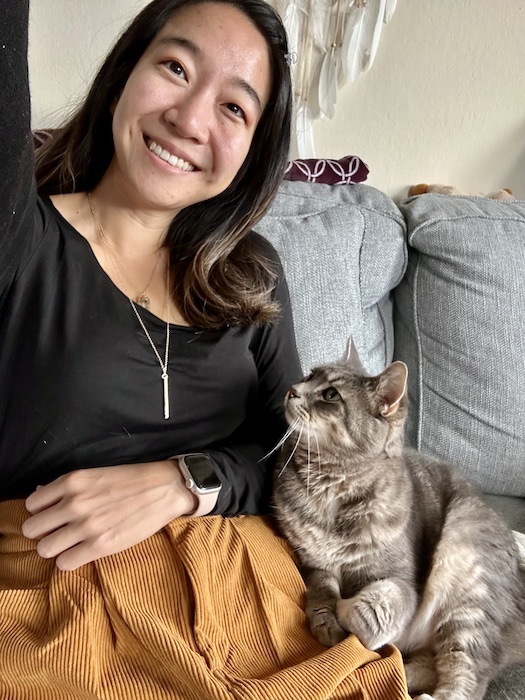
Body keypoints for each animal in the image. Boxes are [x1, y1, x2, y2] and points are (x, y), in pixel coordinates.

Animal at [272, 348, 525, 700]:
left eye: (331, 394)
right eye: (309, 375)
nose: (292, 389)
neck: (333, 485)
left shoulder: (401, 582)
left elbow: (372, 610)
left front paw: (346, 609)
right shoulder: (311, 562)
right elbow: (321, 589)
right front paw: (326, 617)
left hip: (465, 577)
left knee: (469, 673)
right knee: (432, 664)